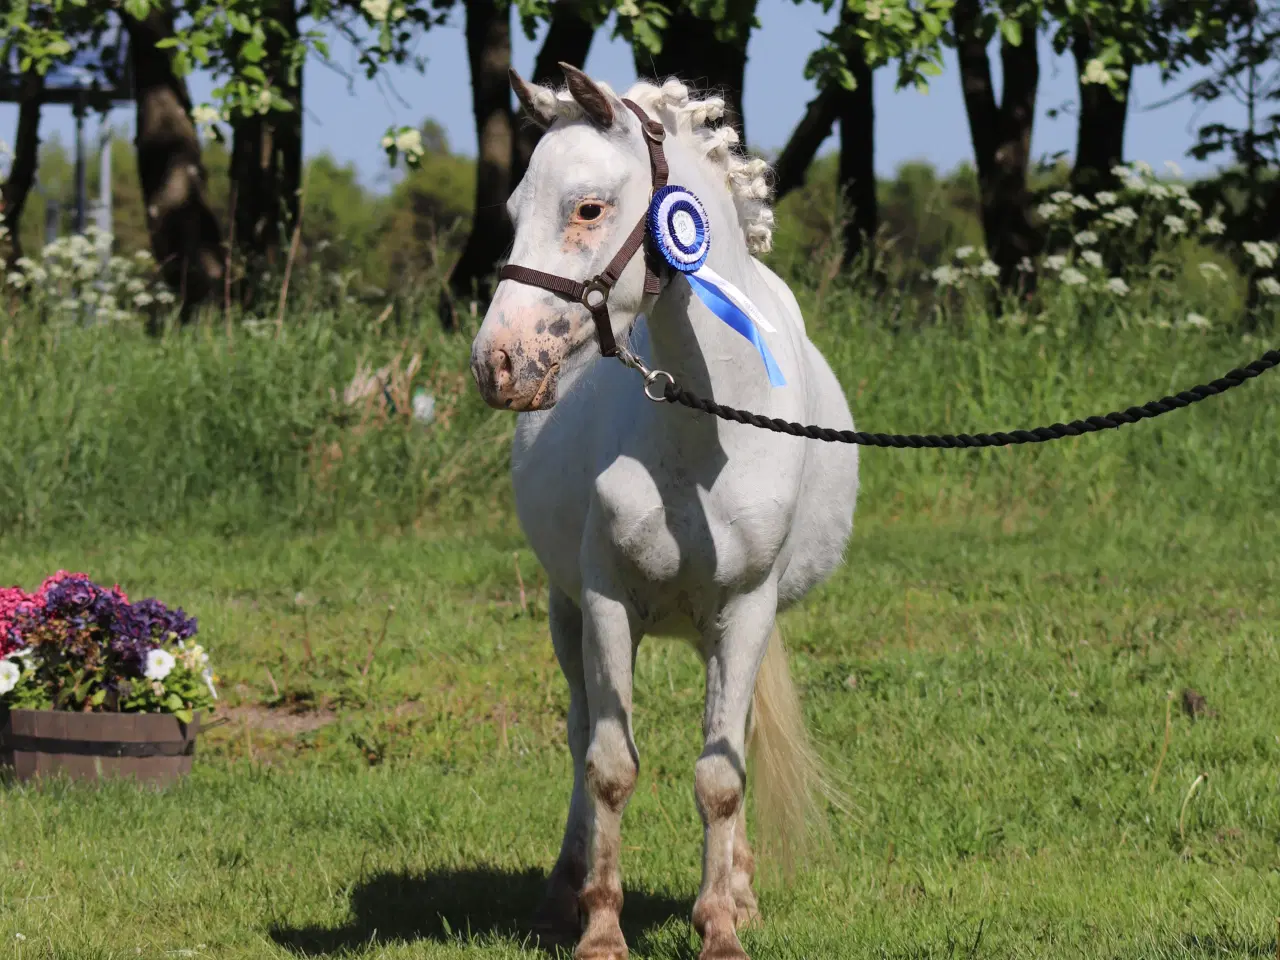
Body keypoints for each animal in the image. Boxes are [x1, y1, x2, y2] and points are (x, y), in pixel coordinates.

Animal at [471, 65, 860, 960]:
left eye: (587, 208)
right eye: (513, 208)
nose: (497, 363)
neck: (706, 432)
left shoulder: (746, 611)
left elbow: (721, 775)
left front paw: (721, 925)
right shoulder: (608, 604)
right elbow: (610, 766)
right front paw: (601, 930)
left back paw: (740, 893)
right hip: (565, 615)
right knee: (580, 734)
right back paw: (564, 890)